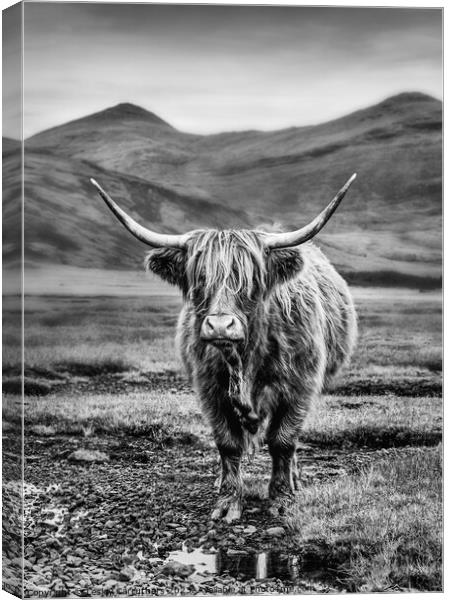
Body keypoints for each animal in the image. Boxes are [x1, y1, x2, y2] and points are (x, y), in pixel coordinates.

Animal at [91, 173, 356, 520]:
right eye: (200, 277)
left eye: (250, 279)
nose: (219, 326)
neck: (245, 358)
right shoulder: (210, 389)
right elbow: (227, 443)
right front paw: (228, 502)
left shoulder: (300, 386)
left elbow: (283, 441)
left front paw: (281, 499)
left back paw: (294, 479)